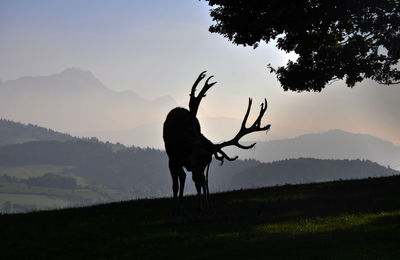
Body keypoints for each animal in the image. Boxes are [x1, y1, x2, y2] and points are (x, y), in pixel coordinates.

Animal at [163, 71, 272, 211]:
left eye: (207, 161)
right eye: (198, 156)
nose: (199, 176)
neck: (183, 146)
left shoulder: (182, 162)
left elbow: (187, 182)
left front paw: (197, 206)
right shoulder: (172, 158)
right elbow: (177, 185)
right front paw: (179, 207)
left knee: (189, 179)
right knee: (186, 178)